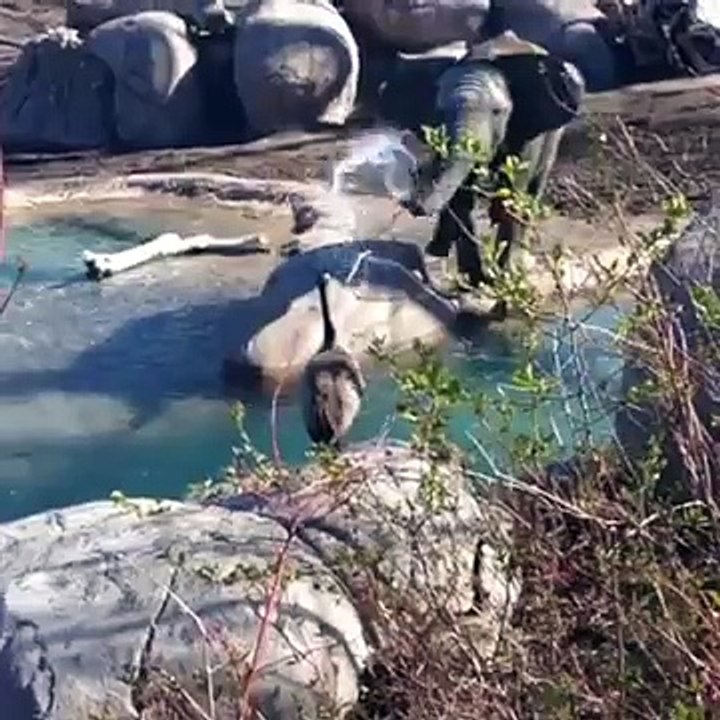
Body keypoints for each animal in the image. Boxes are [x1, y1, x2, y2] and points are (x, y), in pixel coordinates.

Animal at [401, 32, 586, 313]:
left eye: (498, 112)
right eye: (440, 112)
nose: (411, 204)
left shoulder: (527, 129)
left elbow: (514, 193)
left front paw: (504, 285)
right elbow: (462, 197)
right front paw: (475, 282)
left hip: (554, 136)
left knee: (534, 186)